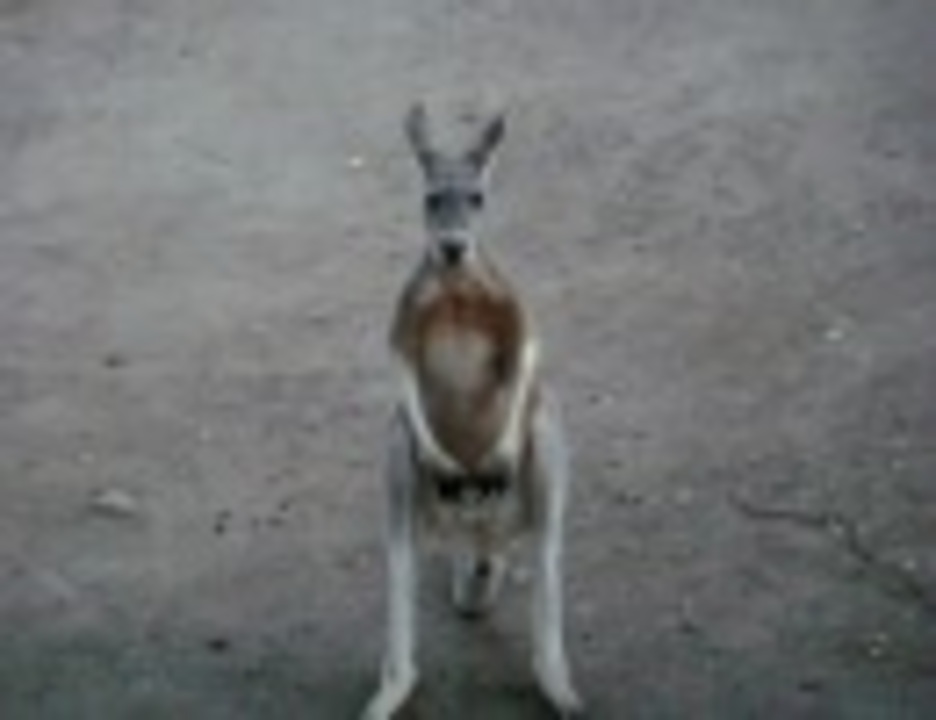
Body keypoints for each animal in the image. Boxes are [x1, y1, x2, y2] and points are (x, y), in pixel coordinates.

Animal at [361, 103, 583, 720]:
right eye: (431, 198)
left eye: (478, 198)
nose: (455, 246)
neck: (457, 287)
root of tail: (477, 529)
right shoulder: (405, 318)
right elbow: (401, 369)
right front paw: (447, 457)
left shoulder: (513, 310)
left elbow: (530, 348)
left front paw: (497, 451)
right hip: (398, 460)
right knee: (402, 559)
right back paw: (390, 689)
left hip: (547, 440)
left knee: (548, 559)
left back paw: (561, 688)